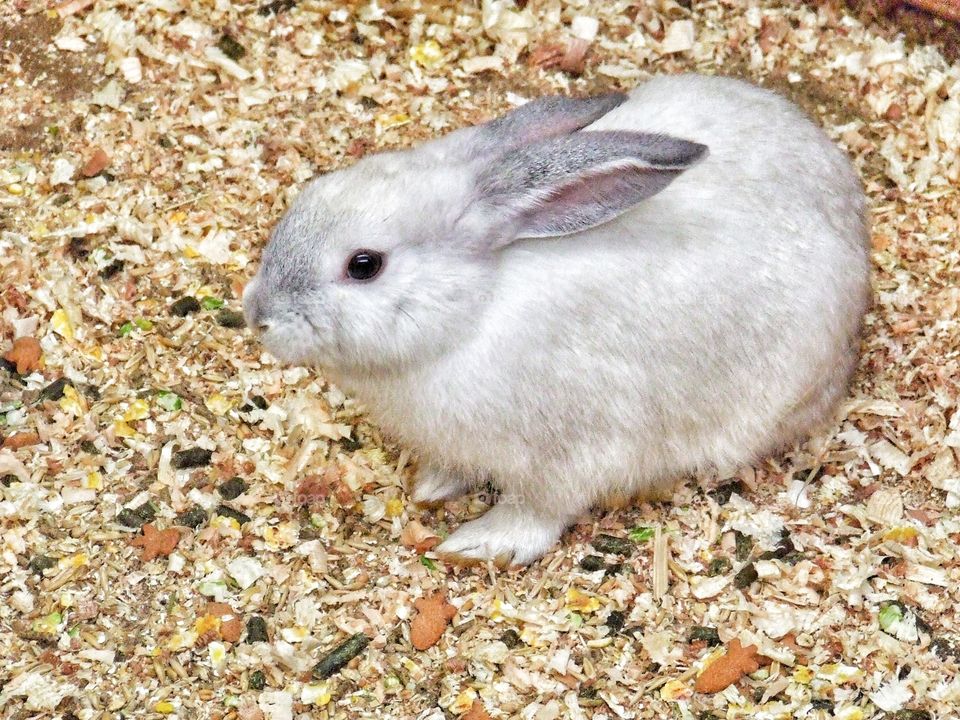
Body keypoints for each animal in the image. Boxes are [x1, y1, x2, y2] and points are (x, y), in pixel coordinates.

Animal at [243, 74, 871, 566]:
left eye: (364, 265)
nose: (257, 315)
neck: (472, 311)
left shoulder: (569, 459)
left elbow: (537, 511)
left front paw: (480, 544)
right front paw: (433, 486)